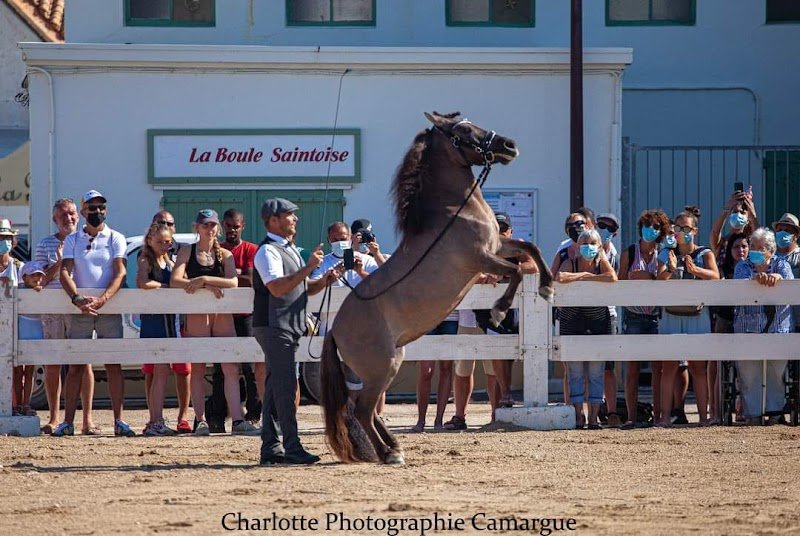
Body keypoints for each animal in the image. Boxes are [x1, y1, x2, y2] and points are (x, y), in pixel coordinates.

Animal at [320, 111, 553, 465]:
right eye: (465, 130)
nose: (509, 145)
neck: (455, 211)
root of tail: (335, 329)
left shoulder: (499, 246)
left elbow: (531, 248)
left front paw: (547, 286)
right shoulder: (480, 259)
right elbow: (513, 272)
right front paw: (499, 311)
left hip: (387, 365)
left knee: (369, 411)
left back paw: (394, 447)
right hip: (381, 368)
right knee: (362, 412)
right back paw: (389, 453)